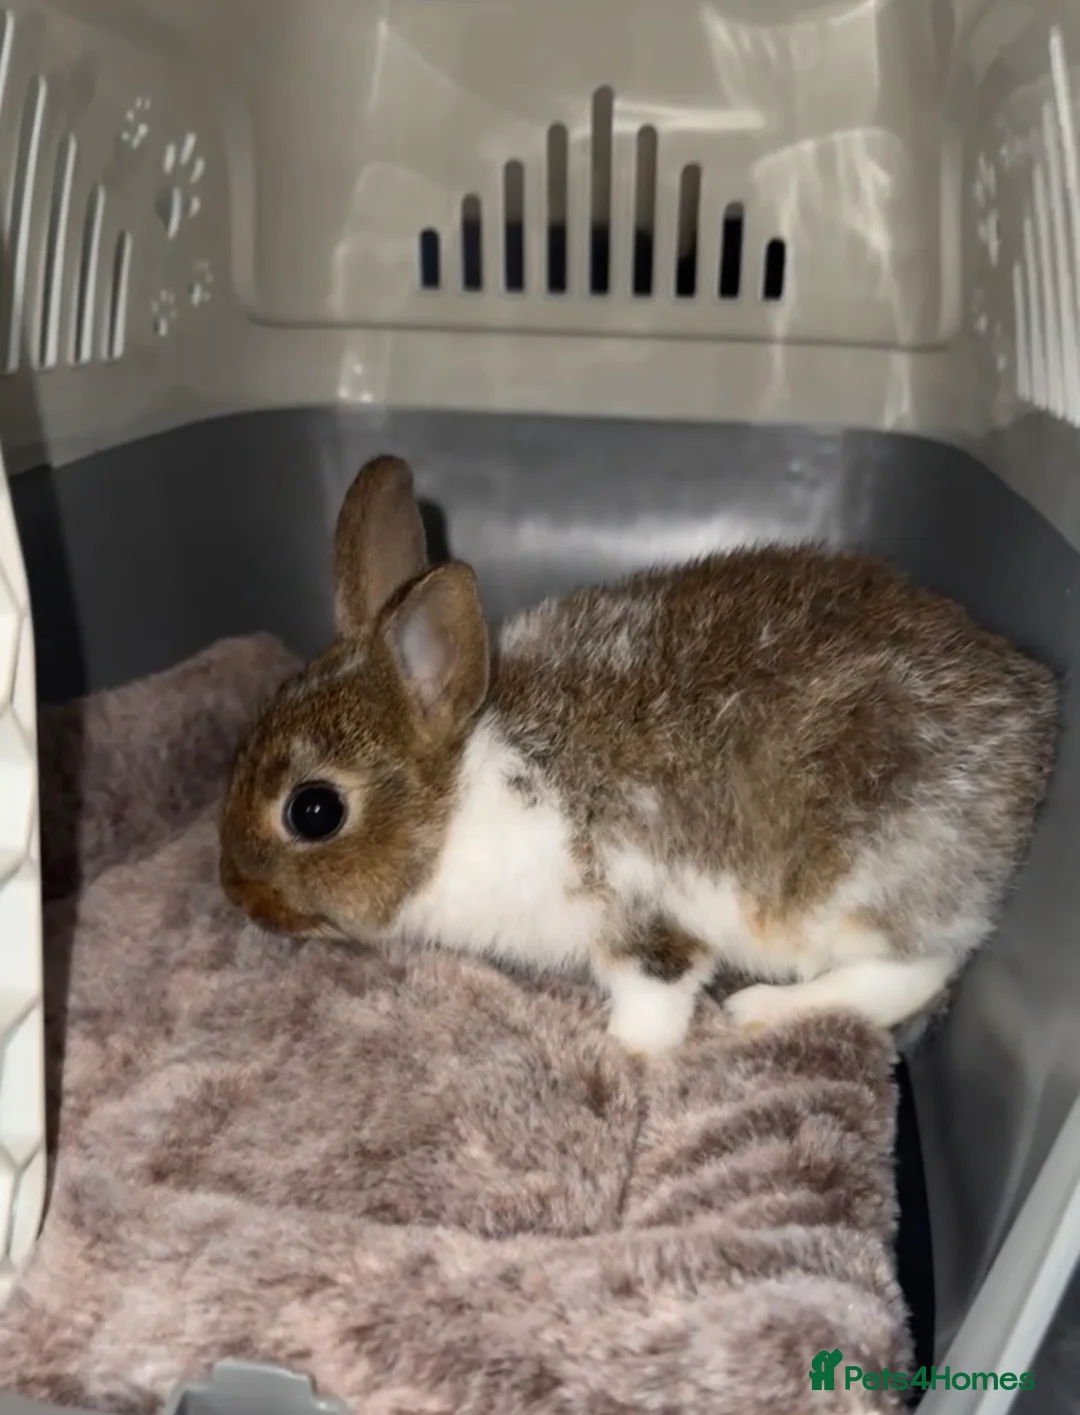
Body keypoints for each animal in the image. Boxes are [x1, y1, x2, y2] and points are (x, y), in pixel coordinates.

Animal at [218, 453, 1060, 1056]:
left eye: (314, 810)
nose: (239, 897)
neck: (457, 796)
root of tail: (1035, 715)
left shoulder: (640, 916)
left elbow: (654, 993)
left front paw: (621, 1054)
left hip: (853, 888)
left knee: (917, 966)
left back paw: (760, 1009)